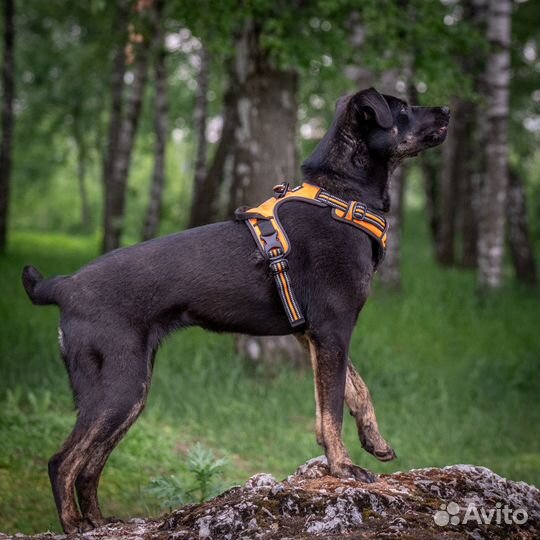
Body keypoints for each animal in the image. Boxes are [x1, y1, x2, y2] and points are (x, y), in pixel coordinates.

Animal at [21, 87, 450, 532]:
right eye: (403, 107)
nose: (448, 110)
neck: (342, 198)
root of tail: (62, 286)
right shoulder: (332, 329)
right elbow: (332, 407)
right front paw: (343, 467)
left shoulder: (312, 335)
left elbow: (354, 390)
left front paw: (374, 441)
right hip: (119, 387)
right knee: (63, 462)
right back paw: (74, 524)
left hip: (128, 393)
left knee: (89, 466)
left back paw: (100, 523)